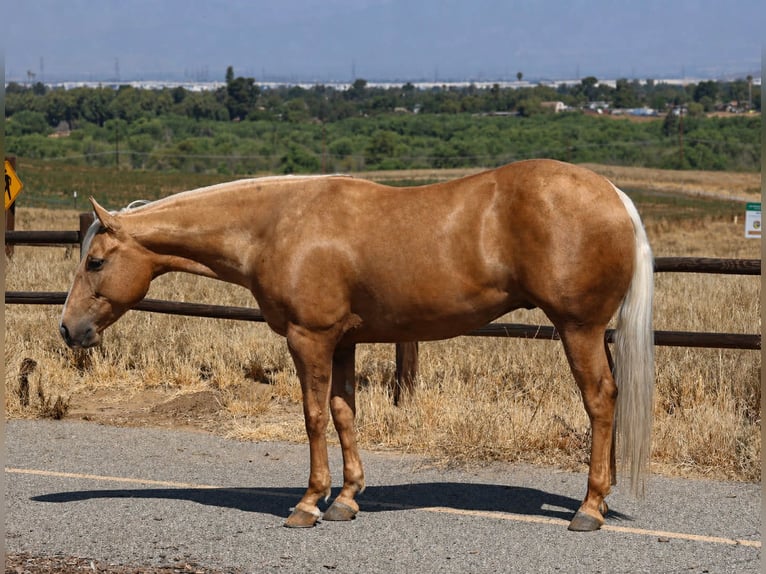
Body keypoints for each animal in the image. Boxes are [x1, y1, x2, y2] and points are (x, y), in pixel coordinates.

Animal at [59, 159, 654, 532]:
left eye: (97, 262)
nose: (68, 330)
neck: (276, 226)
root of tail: (613, 194)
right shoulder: (343, 340)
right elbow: (344, 412)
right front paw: (345, 499)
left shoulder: (310, 338)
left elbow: (313, 416)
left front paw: (308, 504)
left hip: (577, 328)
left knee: (600, 400)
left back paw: (590, 508)